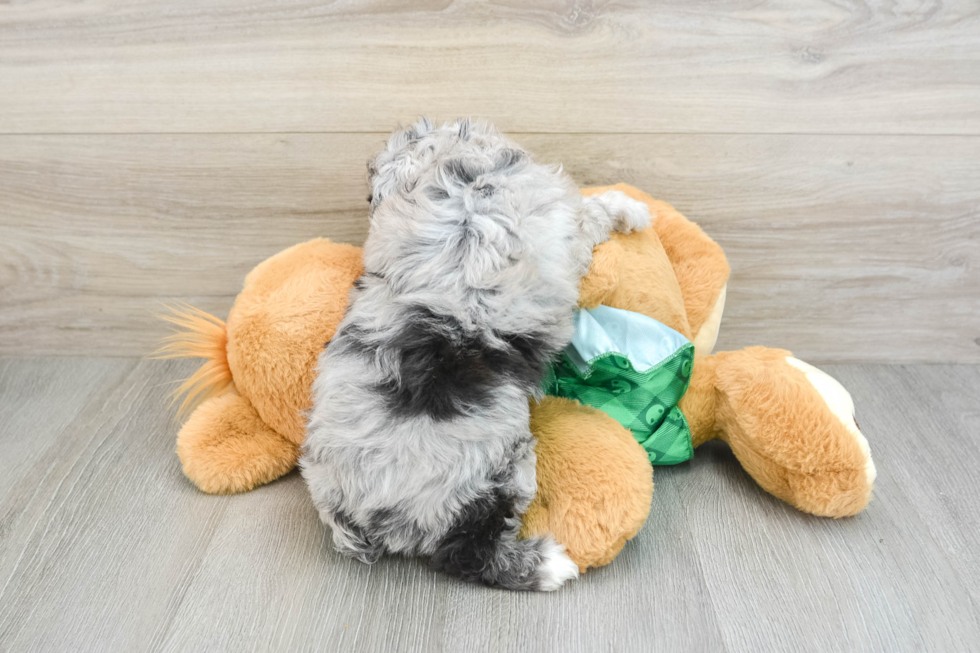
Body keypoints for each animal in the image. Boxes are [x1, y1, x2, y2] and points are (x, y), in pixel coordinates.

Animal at [298, 118, 652, 592]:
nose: (367, 180)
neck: (452, 172)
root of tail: (361, 520)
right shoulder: (562, 229)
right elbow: (590, 212)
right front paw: (630, 207)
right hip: (495, 477)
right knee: (469, 554)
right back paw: (548, 566)